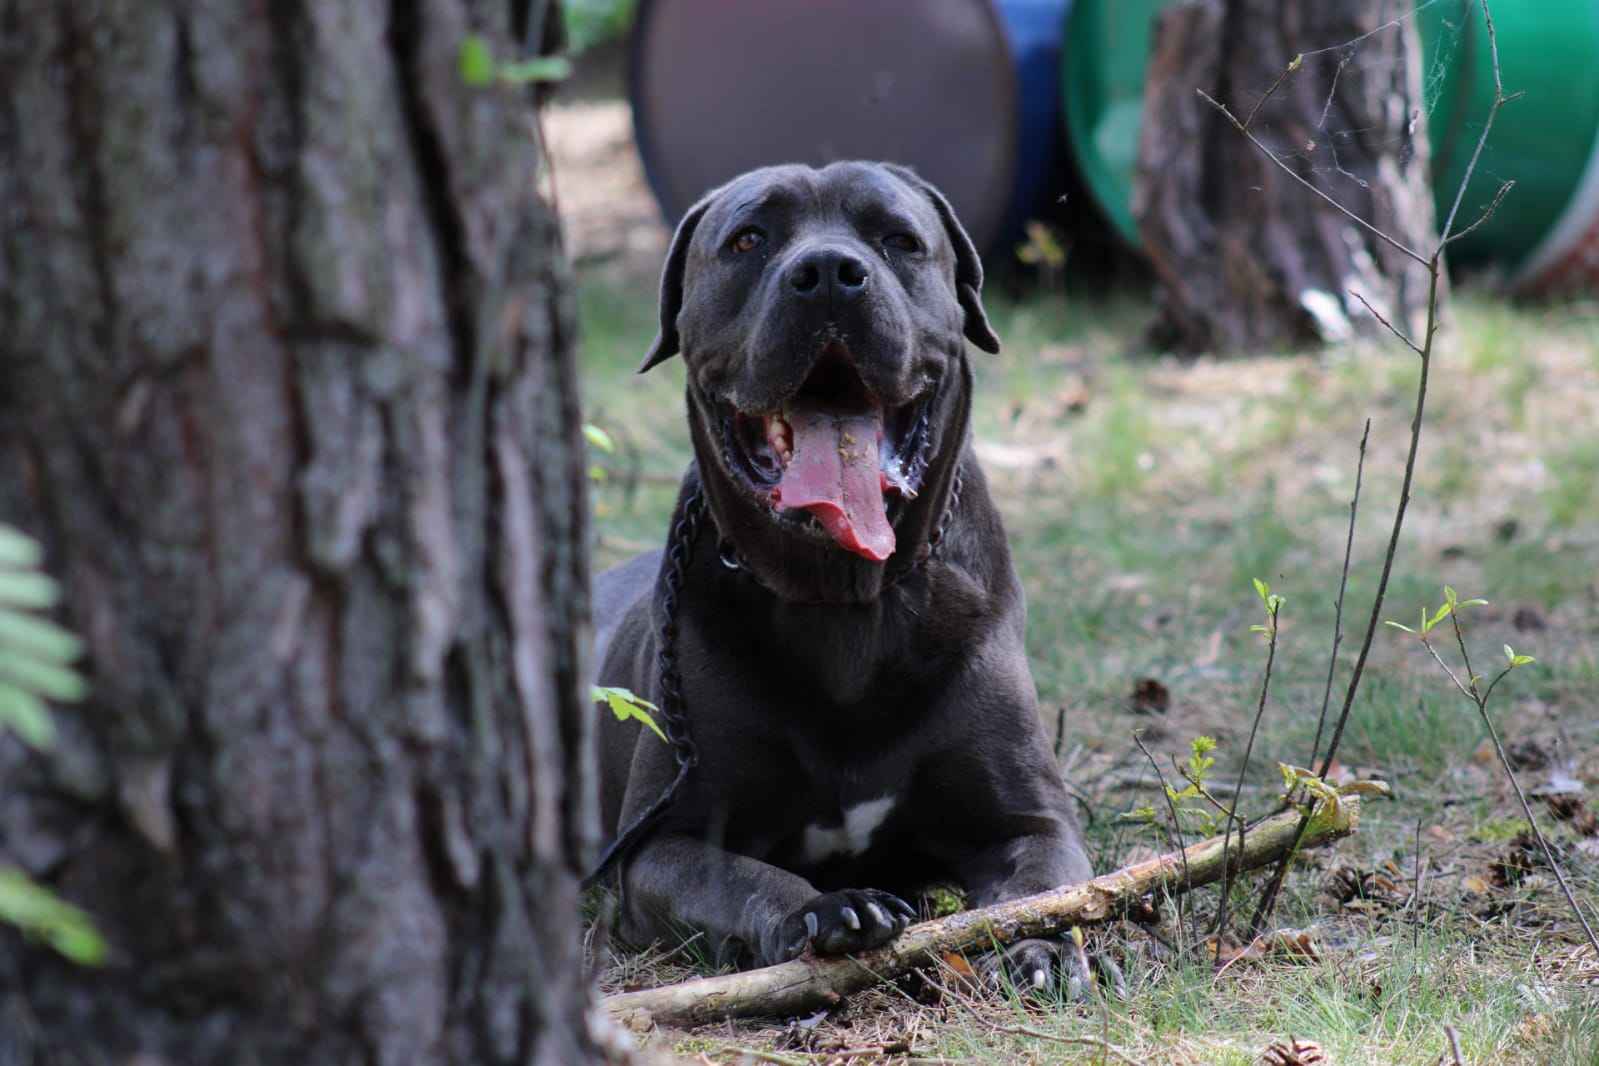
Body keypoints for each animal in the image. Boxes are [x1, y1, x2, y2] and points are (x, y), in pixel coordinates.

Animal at [594, 163, 1093, 990]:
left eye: (899, 239)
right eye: (748, 239)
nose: (828, 272)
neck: (842, 600)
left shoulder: (1029, 818)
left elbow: (1044, 885)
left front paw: (1045, 944)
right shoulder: (661, 844)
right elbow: (743, 876)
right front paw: (828, 908)